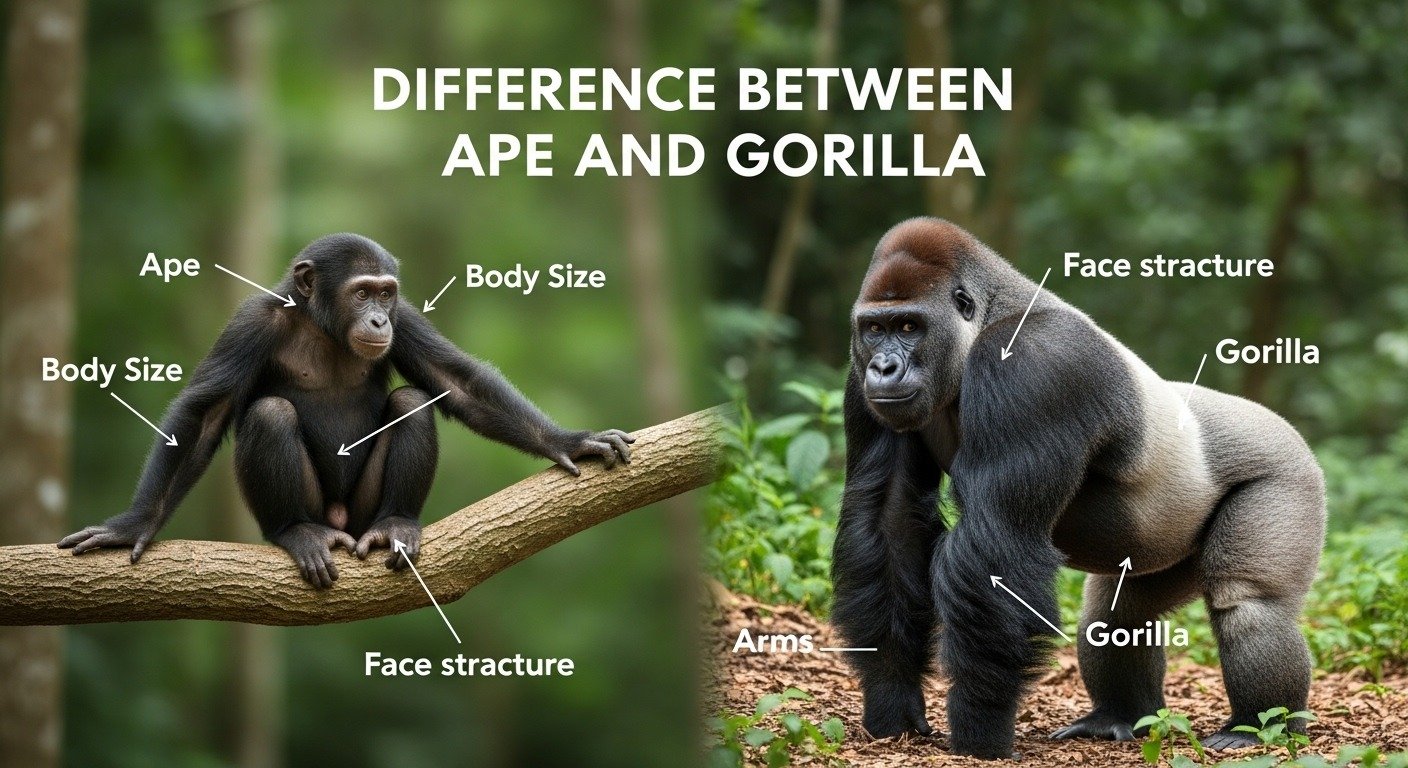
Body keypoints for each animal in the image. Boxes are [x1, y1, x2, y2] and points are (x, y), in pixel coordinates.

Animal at [59, 233, 635, 588]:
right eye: (361, 293)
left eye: (385, 293)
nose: (379, 319)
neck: (322, 326)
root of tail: (342, 522)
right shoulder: (251, 323)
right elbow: (205, 413)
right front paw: (132, 526)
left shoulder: (408, 316)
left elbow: (457, 382)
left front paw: (569, 441)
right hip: (316, 511)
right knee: (270, 414)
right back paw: (298, 532)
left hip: (362, 511)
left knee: (411, 402)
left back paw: (396, 525)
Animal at [830, 217, 1325, 758]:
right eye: (874, 329)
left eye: (908, 327)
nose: (884, 367)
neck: (985, 323)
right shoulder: (858, 377)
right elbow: (890, 520)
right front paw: (892, 696)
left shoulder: (1034, 365)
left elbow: (995, 541)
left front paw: (981, 723)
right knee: (1118, 617)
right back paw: (1119, 715)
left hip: (1287, 470)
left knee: (1248, 604)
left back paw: (1257, 724)